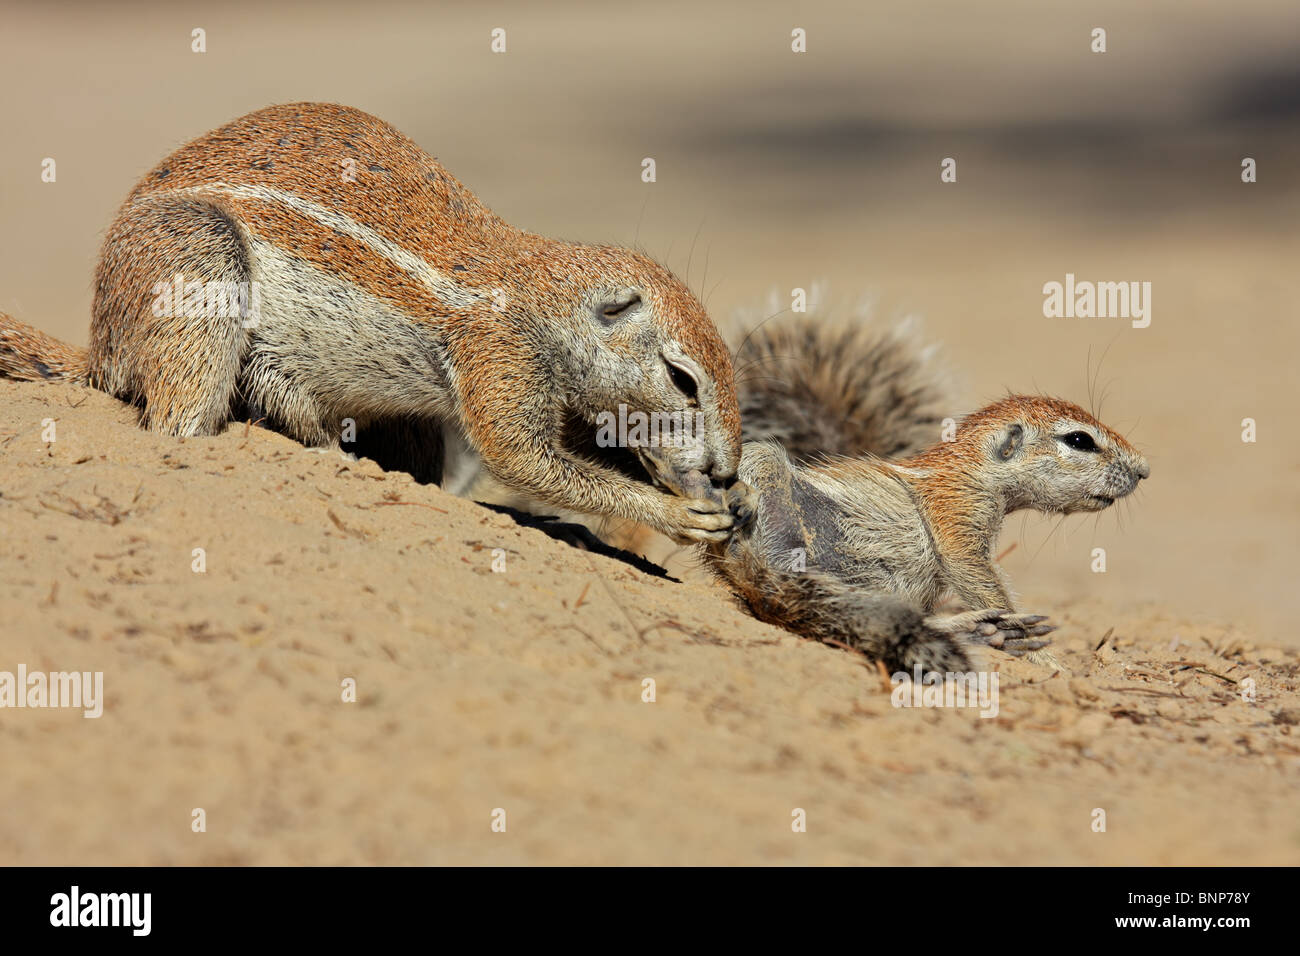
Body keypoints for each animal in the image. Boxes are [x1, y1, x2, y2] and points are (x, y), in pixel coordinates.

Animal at [0, 102, 748, 546]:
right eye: (683, 379)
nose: (726, 470)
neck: (541, 296)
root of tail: (100, 347)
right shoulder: (500, 356)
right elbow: (525, 457)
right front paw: (680, 512)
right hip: (197, 256)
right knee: (175, 424)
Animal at [650, 317, 1149, 676]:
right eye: (1080, 440)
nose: (1144, 469)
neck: (971, 469)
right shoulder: (957, 510)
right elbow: (973, 571)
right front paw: (1046, 659)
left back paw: (978, 633)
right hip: (768, 475)